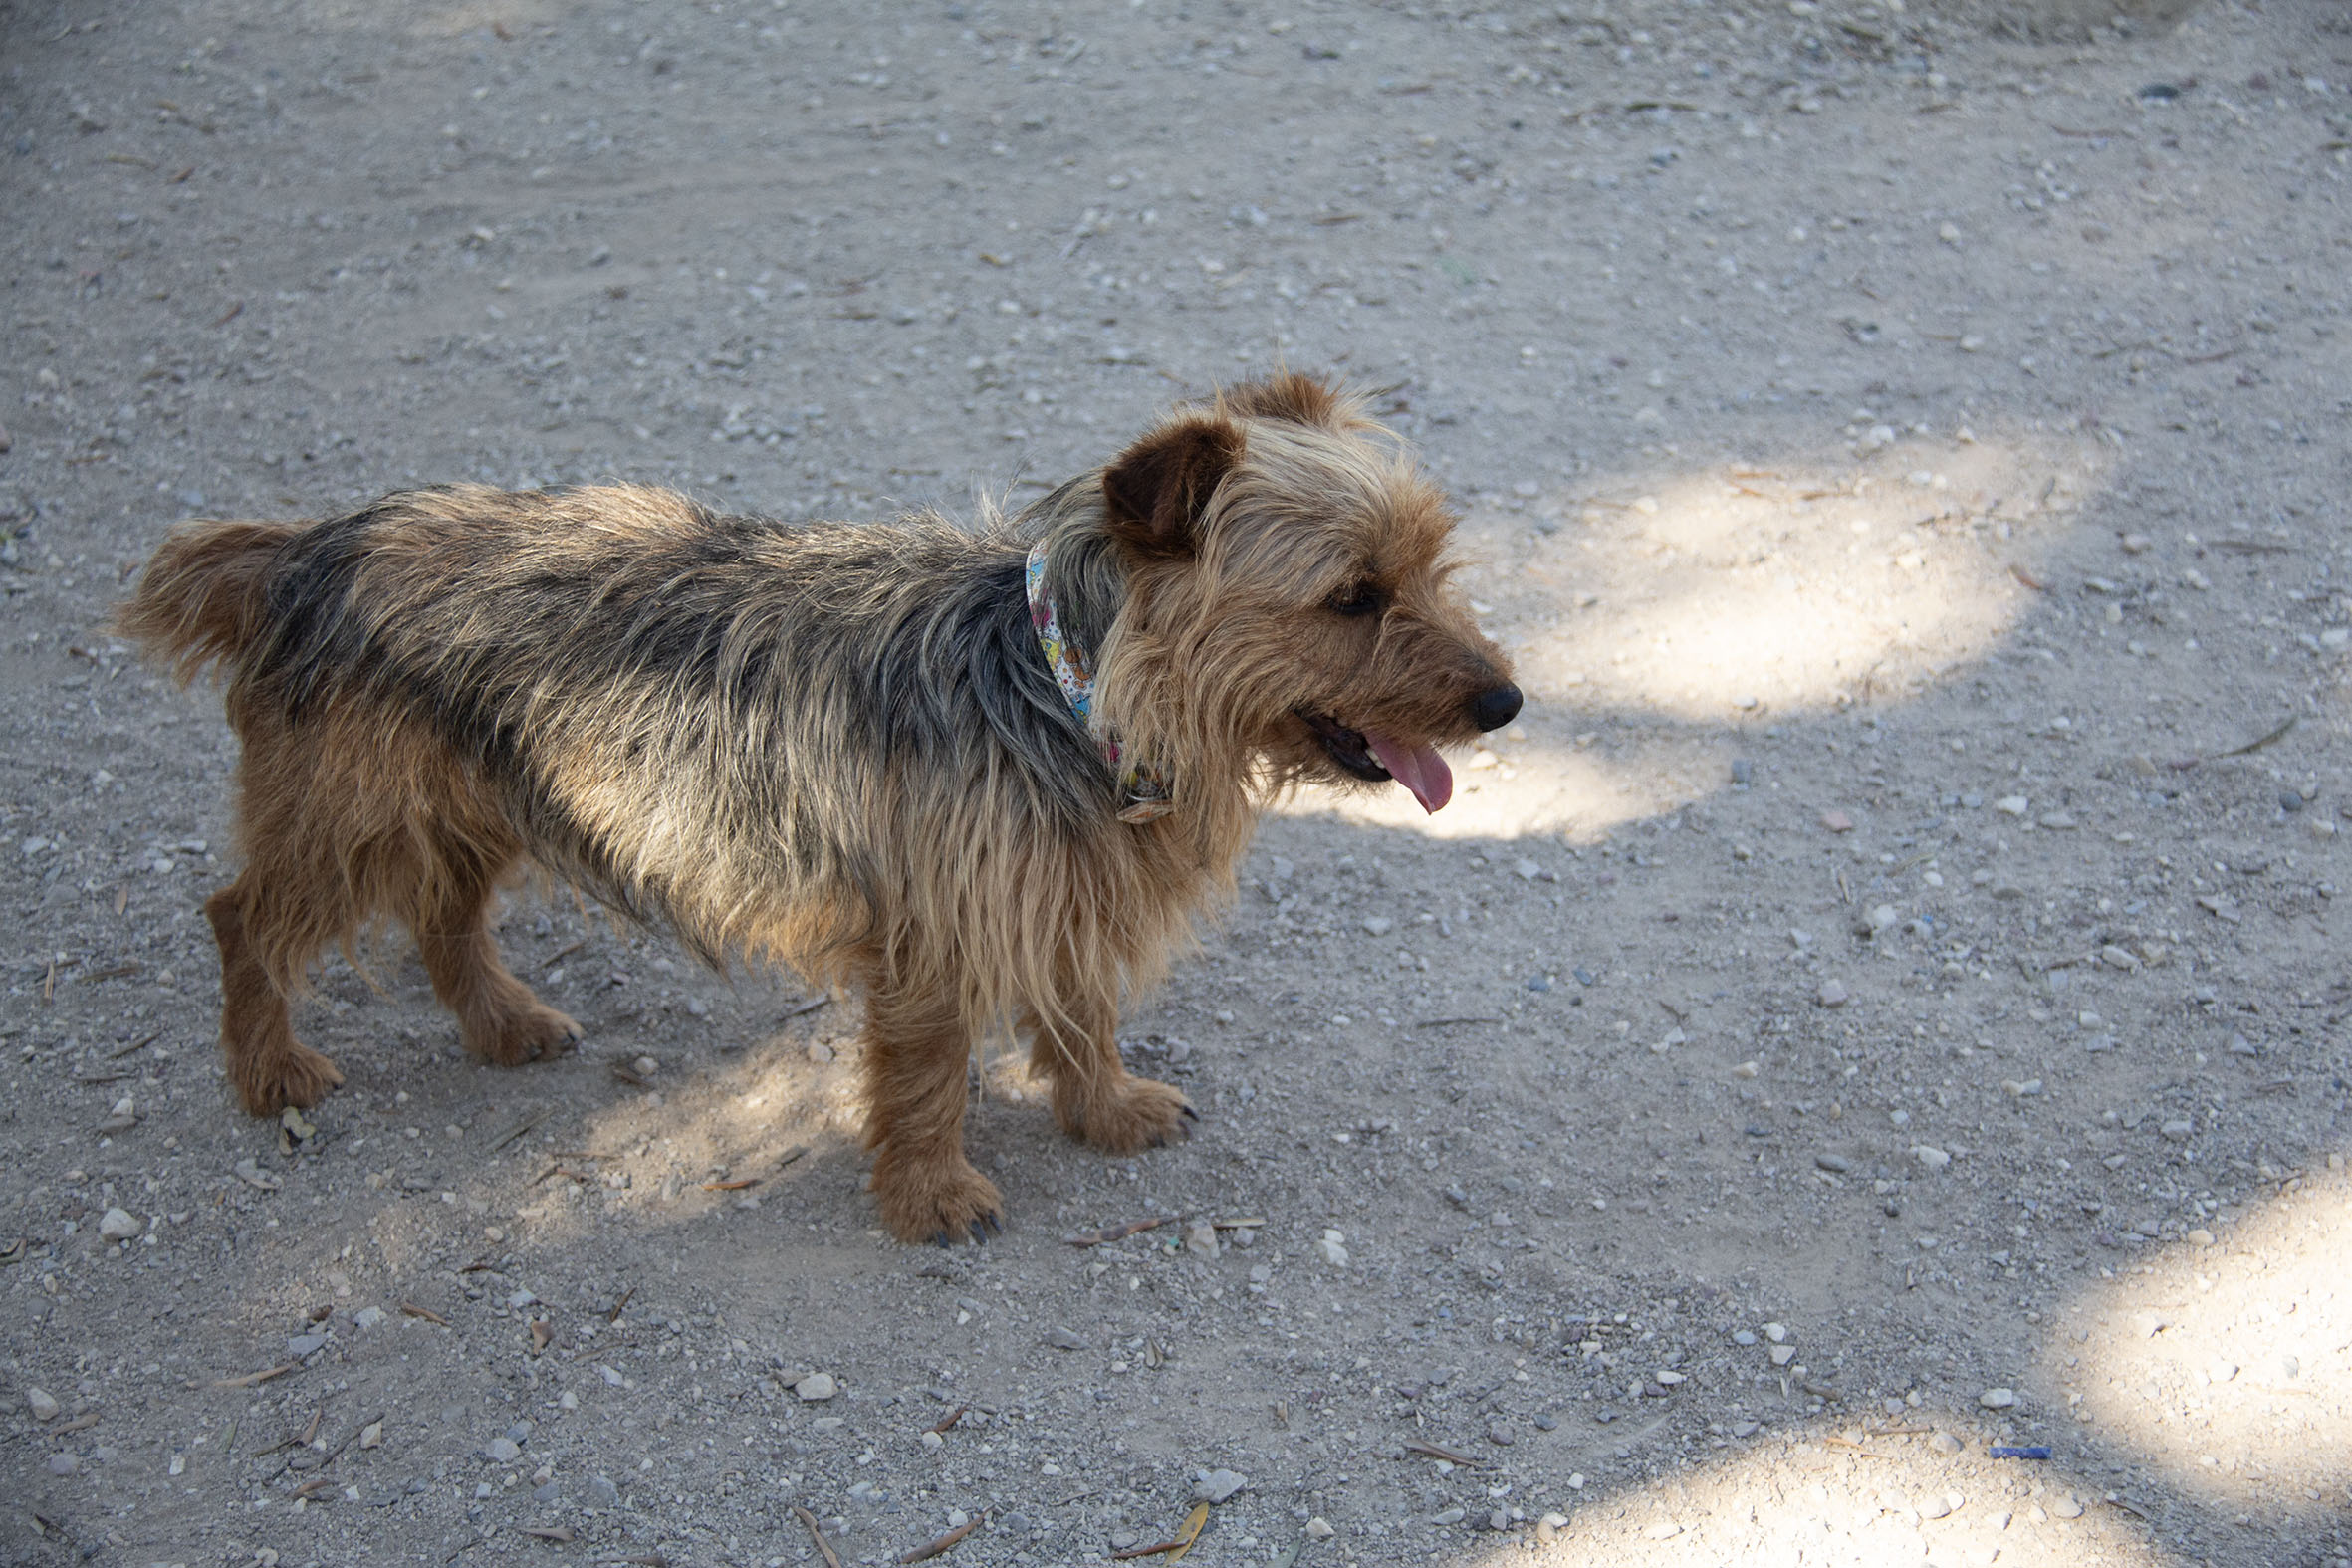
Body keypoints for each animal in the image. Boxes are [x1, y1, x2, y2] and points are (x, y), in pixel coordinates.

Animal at [117, 373, 1520, 1243]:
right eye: (1350, 597)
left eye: (1429, 566)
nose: (1506, 700)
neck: (1064, 684)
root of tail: (307, 547)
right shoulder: (933, 936)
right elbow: (928, 1074)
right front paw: (931, 1195)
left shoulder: (1054, 895)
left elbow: (1081, 1014)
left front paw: (1105, 1108)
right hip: (353, 820)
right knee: (241, 915)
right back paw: (271, 1070)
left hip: (472, 803)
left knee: (440, 917)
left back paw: (502, 1024)